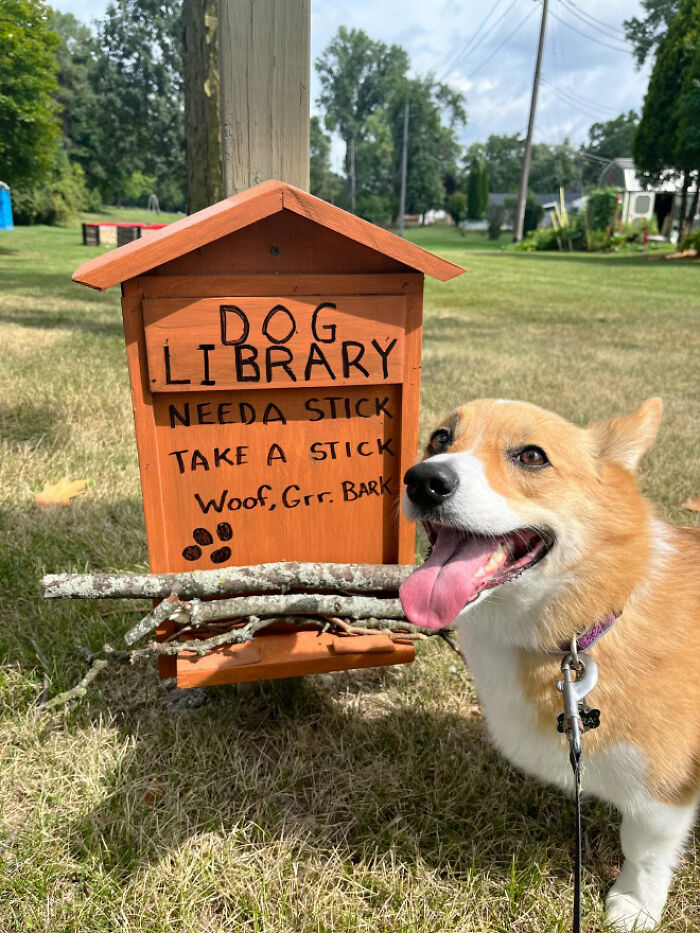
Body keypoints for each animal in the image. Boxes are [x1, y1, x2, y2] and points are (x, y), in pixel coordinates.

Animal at [400, 396, 700, 928]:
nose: (422, 480)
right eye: (439, 438)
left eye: (532, 456)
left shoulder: (666, 784)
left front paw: (635, 906)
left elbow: (643, 847)